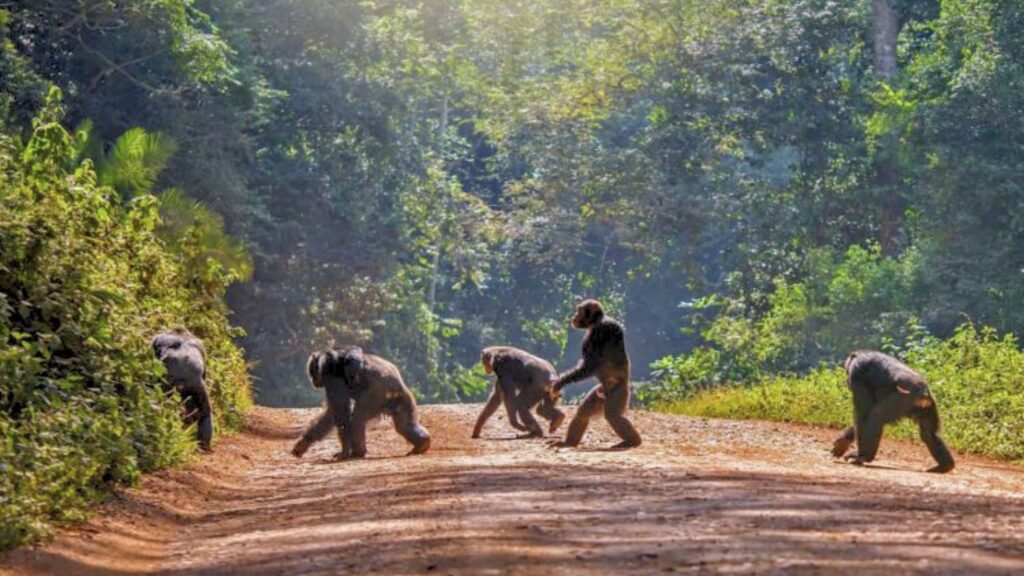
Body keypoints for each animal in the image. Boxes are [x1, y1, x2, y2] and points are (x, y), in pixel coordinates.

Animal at [290, 344, 430, 457]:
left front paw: (344, 452)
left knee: (357, 420)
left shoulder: (332, 380)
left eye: (312, 371)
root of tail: (397, 386)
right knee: (404, 425)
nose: (313, 380)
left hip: (375, 395)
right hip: (403, 399)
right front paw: (303, 443)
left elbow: (341, 412)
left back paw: (358, 452)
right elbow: (330, 414)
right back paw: (422, 443)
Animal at [544, 301, 638, 448]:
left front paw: (560, 383)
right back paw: (569, 442)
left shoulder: (598, 334)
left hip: (619, 392)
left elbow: (590, 366)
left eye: (579, 311)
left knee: (613, 416)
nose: (574, 316)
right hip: (600, 393)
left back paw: (633, 441)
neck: (596, 322)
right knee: (583, 413)